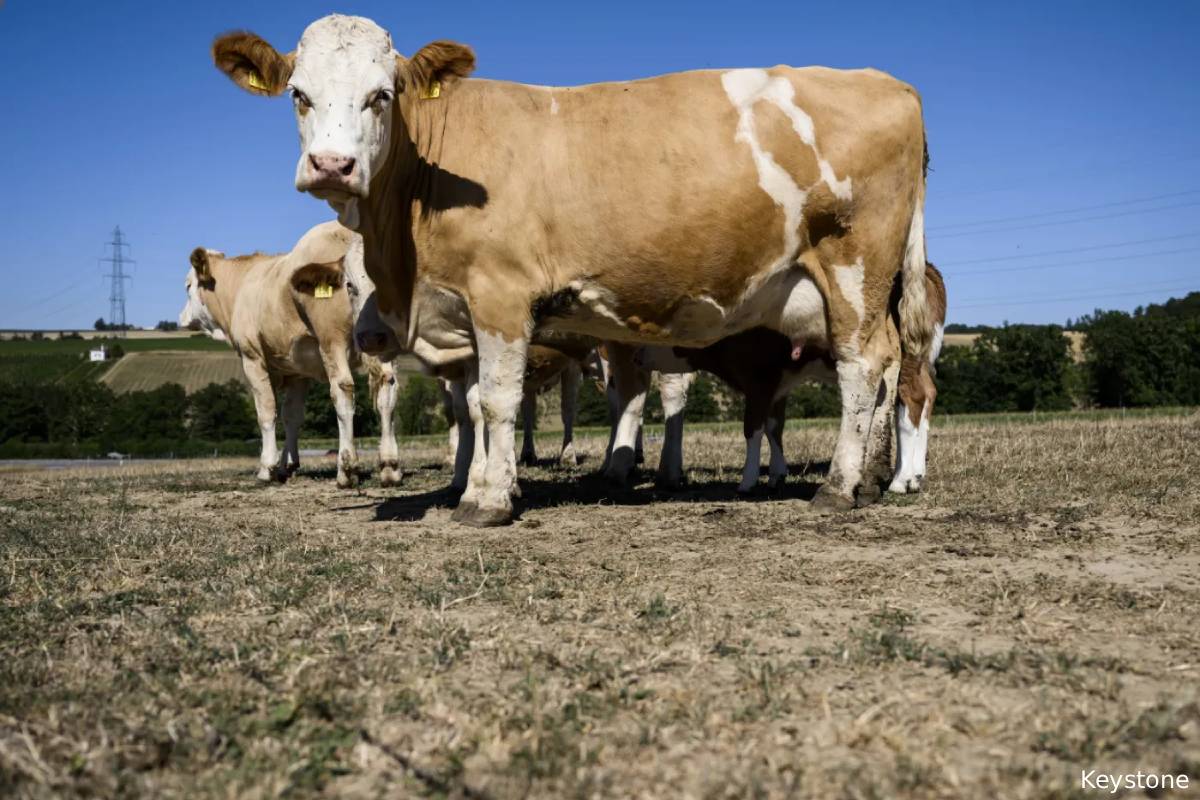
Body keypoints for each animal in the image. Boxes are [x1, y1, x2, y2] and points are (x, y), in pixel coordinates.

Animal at [178, 221, 401, 488]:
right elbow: (292, 416)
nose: (181, 318)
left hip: (332, 340)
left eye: (188, 286)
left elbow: (266, 411)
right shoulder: (297, 372)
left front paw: (268, 468)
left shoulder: (252, 358)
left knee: (343, 390)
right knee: (388, 390)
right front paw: (289, 464)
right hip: (381, 341)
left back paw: (346, 470)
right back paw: (390, 466)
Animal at [210, 14, 932, 525]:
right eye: (298, 95)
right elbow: (474, 407)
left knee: (864, 367)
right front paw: (478, 485)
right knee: (890, 370)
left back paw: (840, 486)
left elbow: (496, 401)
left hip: (853, 267)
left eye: (381, 95)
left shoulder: (501, 293)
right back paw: (873, 481)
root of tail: (888, 82)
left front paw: (489, 501)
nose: (332, 166)